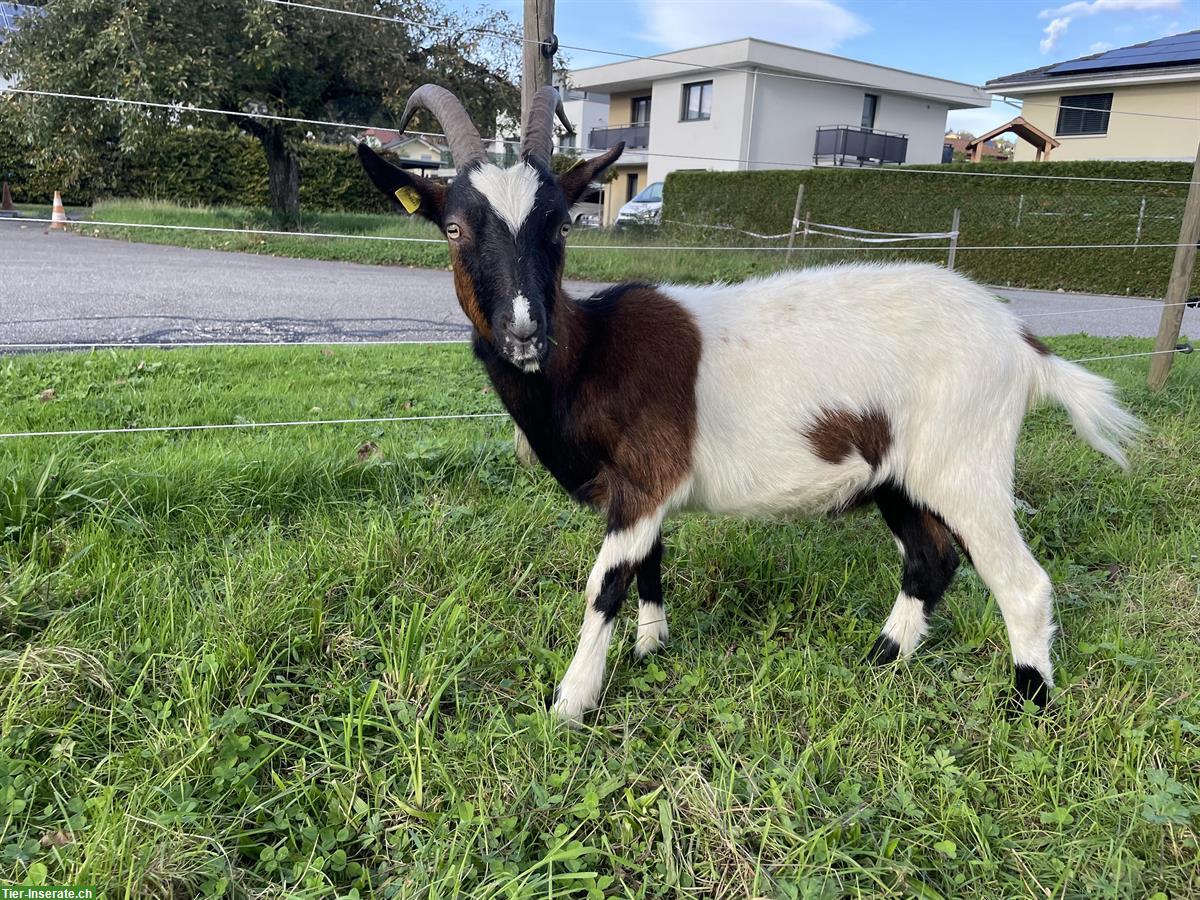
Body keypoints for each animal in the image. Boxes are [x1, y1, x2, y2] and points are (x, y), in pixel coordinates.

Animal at [355, 81, 1142, 724]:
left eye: (562, 225)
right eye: (454, 228)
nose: (523, 331)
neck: (589, 353)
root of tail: (1023, 344)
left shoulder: (643, 479)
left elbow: (604, 584)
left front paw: (571, 703)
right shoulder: (646, 489)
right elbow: (651, 563)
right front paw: (651, 648)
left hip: (965, 462)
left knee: (1022, 581)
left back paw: (1027, 699)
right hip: (896, 471)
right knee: (930, 559)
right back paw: (882, 657)